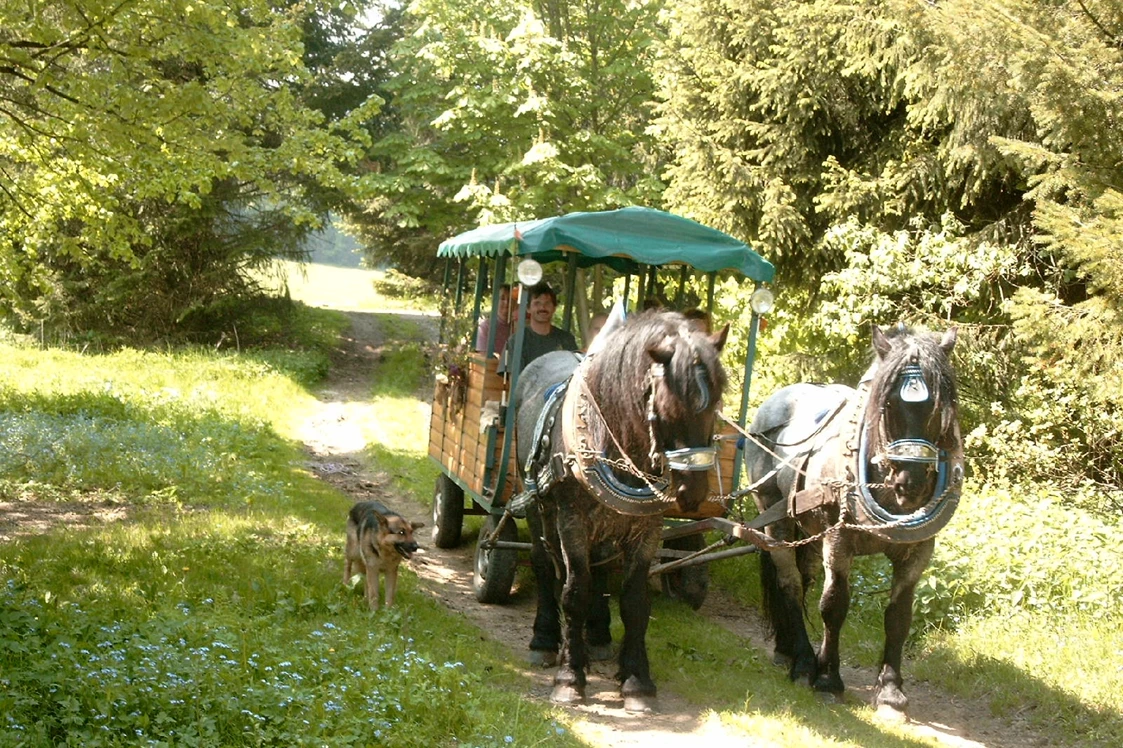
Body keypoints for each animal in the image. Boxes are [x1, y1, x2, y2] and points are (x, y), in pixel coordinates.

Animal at [514, 307, 727, 709]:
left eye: (717, 401)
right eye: (669, 405)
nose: (693, 491)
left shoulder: (647, 529)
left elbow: (634, 601)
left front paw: (636, 680)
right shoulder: (572, 520)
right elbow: (574, 592)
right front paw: (570, 678)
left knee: (598, 568)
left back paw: (596, 637)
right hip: (537, 505)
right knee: (544, 563)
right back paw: (544, 639)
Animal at [741, 321, 961, 718]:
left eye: (942, 404)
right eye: (886, 404)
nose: (913, 483)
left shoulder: (918, 550)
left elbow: (899, 616)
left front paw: (890, 692)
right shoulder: (838, 539)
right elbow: (834, 605)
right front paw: (828, 679)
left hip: (808, 531)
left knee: (805, 579)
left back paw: (788, 649)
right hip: (775, 518)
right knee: (790, 584)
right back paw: (802, 661)